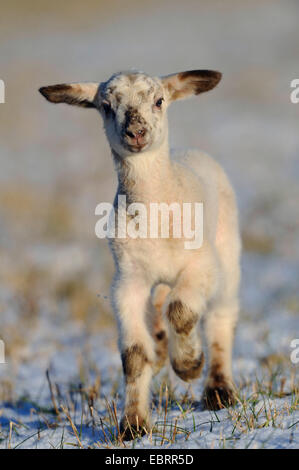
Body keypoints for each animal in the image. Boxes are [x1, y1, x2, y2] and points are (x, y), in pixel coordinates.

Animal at [39, 70, 241, 440]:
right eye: (106, 106)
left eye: (159, 101)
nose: (136, 133)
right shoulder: (127, 280)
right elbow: (133, 355)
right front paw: (133, 425)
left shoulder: (202, 266)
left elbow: (182, 311)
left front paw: (189, 364)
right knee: (161, 308)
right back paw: (161, 348)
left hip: (227, 254)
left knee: (220, 317)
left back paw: (218, 390)